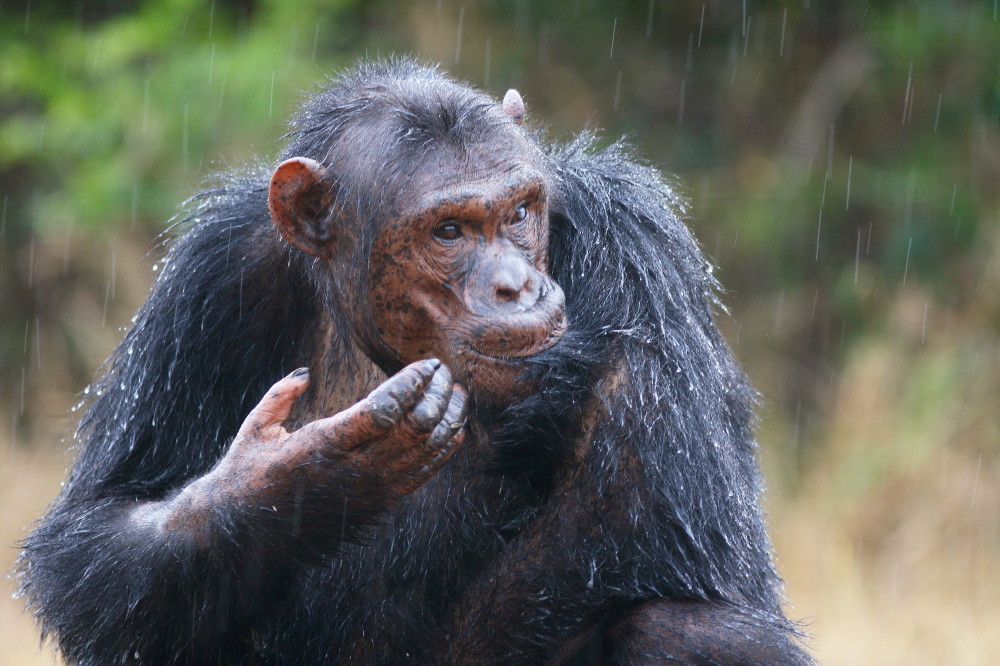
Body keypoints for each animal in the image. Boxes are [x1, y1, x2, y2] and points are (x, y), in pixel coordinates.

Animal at [17, 59, 812, 660]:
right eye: (449, 231)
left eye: (519, 212)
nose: (514, 285)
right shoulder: (210, 278)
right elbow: (98, 534)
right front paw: (308, 474)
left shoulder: (637, 246)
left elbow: (670, 530)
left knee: (688, 628)